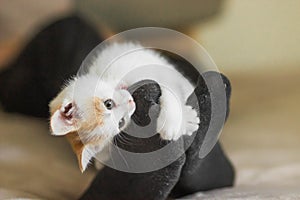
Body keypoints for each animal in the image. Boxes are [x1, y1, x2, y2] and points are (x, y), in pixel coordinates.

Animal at [48, 42, 199, 172]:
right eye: (121, 123)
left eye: (108, 104)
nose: (131, 102)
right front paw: (186, 121)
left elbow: (170, 88)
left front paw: (174, 122)